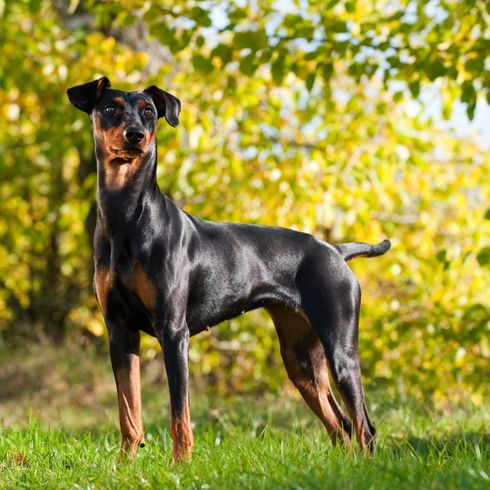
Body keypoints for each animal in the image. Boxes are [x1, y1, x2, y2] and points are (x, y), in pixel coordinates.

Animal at [68, 77, 390, 464]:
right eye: (110, 108)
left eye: (148, 111)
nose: (136, 136)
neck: (126, 218)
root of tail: (335, 251)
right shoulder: (119, 331)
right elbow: (129, 412)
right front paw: (125, 465)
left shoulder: (173, 332)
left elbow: (179, 414)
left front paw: (180, 465)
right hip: (300, 359)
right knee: (340, 425)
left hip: (340, 350)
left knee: (364, 426)